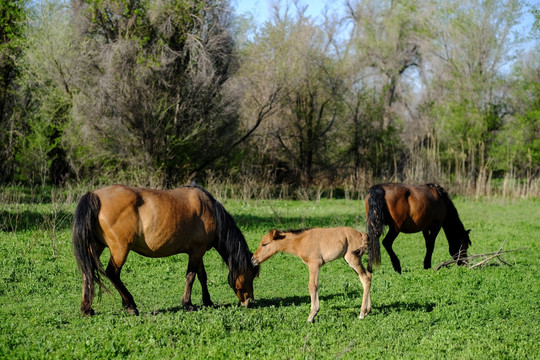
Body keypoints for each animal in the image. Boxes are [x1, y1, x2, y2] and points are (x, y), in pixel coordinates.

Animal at [72, 184, 260, 316]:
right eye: (251, 275)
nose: (249, 302)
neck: (209, 209)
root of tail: (95, 195)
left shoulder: (197, 252)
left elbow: (202, 276)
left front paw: (207, 301)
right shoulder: (197, 251)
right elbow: (191, 276)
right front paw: (188, 304)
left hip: (96, 247)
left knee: (87, 272)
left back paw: (87, 309)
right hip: (120, 249)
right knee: (112, 273)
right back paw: (130, 305)